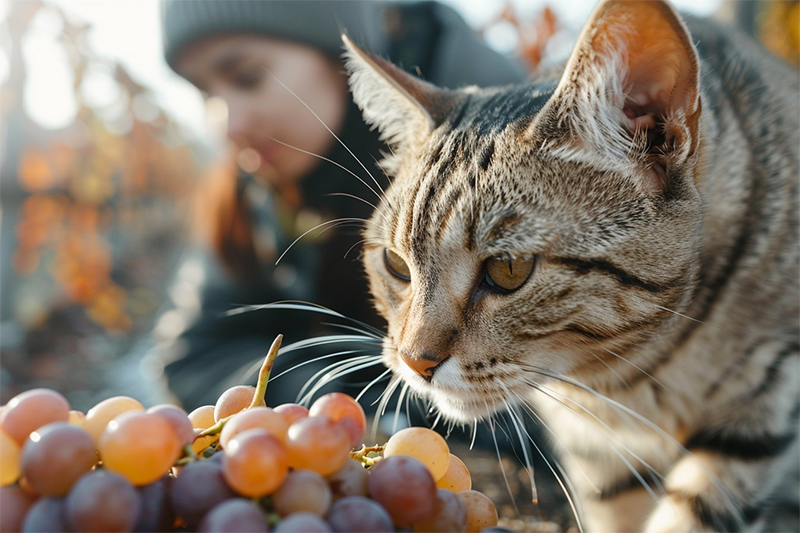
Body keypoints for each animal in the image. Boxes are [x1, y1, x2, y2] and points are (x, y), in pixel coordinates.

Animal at [342, 2, 800, 528]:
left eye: (509, 268)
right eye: (396, 264)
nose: (415, 361)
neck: (625, 378)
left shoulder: (764, 402)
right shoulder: (598, 452)